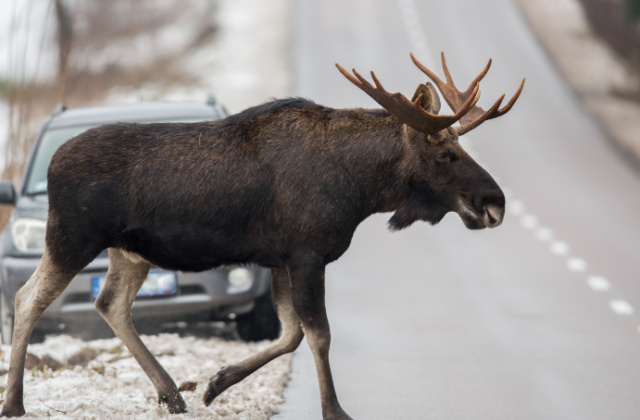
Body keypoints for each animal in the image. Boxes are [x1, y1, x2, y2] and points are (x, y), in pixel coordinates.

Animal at [0, 53, 524, 420]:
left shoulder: (278, 258)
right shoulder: (308, 253)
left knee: (110, 303)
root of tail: (50, 164)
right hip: (71, 237)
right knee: (28, 297)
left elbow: (291, 333)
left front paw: (216, 383)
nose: (494, 202)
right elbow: (318, 334)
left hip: (129, 251)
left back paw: (172, 393)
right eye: (445, 155)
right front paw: (335, 410)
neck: (360, 189)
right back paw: (15, 402)